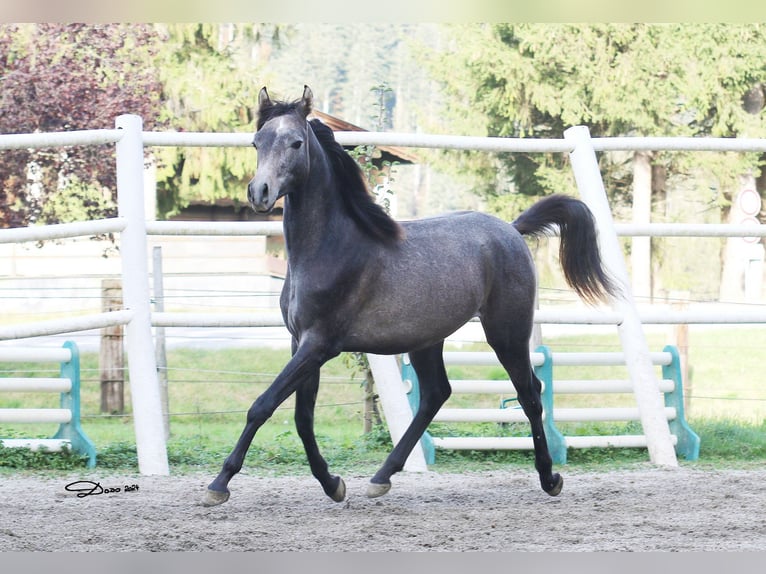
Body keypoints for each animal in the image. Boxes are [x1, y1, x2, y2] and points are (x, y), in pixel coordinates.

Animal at [202, 86, 616, 508]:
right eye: (257, 142)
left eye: (295, 142)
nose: (259, 192)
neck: (331, 247)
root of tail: (512, 230)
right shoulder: (299, 343)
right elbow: (303, 419)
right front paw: (333, 484)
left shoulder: (318, 345)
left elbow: (263, 406)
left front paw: (219, 484)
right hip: (427, 340)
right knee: (436, 394)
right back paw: (381, 477)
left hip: (507, 333)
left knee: (529, 393)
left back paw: (550, 478)